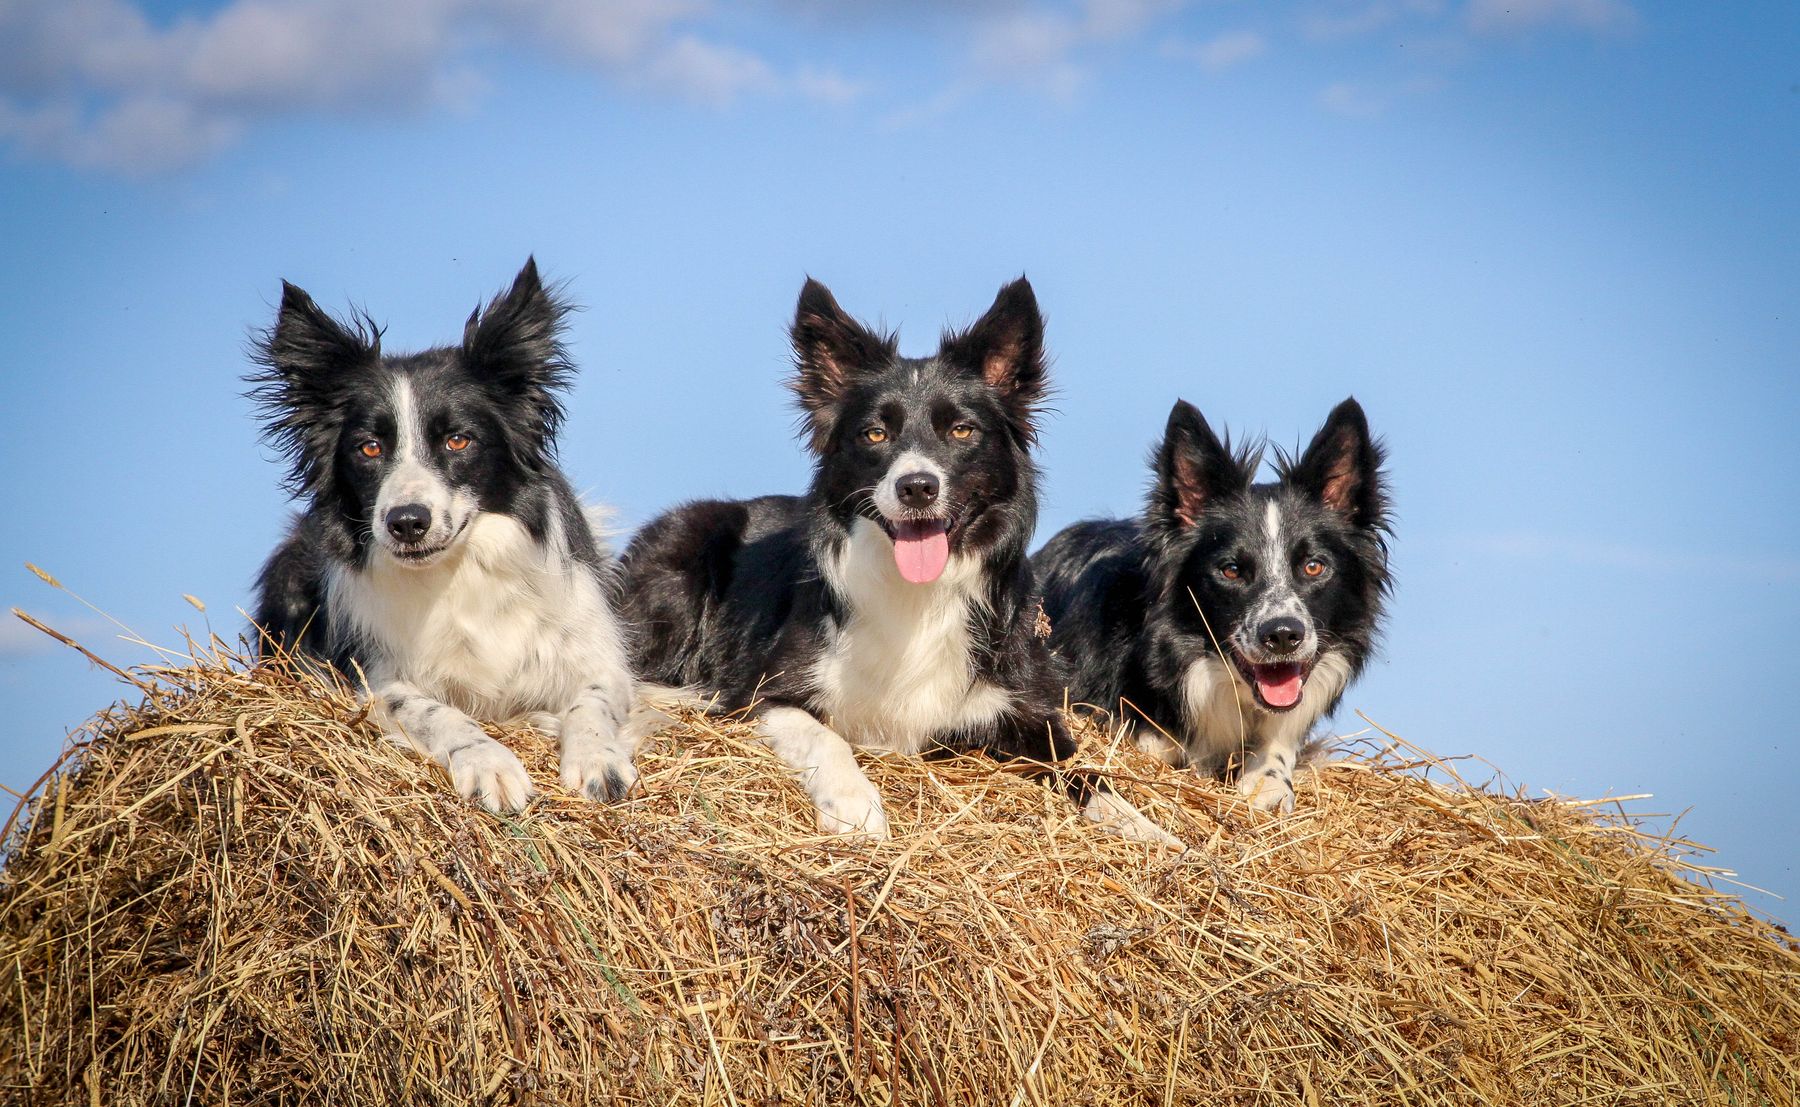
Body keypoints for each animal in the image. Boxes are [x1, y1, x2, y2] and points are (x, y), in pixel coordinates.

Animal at [246, 259, 640, 813]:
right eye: (369, 448)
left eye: (458, 440)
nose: (407, 522)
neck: (459, 573)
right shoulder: (372, 680)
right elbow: (435, 712)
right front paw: (489, 763)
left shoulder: (598, 659)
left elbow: (593, 699)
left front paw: (597, 759)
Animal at [622, 277, 1180, 849]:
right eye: (875, 434)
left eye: (961, 430)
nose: (916, 486)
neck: (916, 594)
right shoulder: (765, 694)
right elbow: (824, 738)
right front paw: (854, 805)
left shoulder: (1023, 709)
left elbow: (1081, 770)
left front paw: (1137, 824)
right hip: (688, 546)